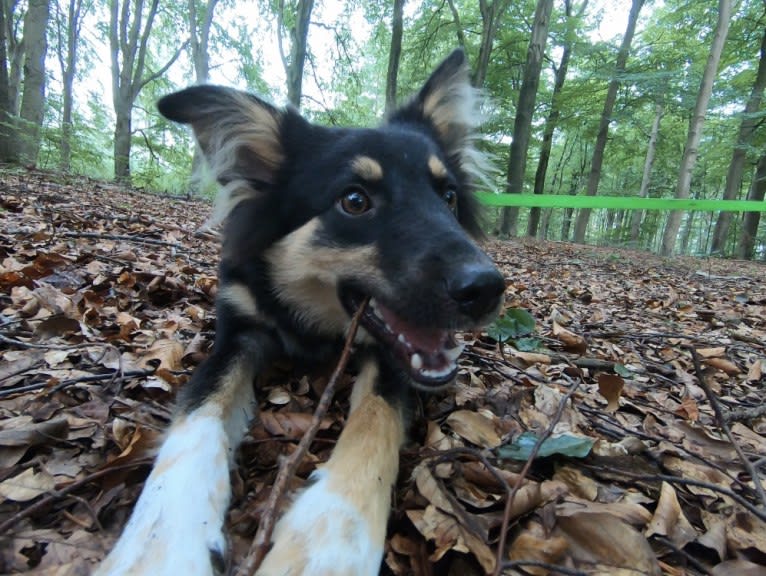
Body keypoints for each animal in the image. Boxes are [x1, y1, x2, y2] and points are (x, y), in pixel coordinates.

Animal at [96, 50, 508, 576]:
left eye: (449, 196)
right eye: (354, 200)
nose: (486, 289)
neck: (314, 322)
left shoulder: (389, 361)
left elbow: (374, 421)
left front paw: (328, 539)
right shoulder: (239, 331)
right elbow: (199, 411)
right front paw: (160, 543)